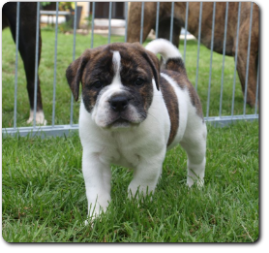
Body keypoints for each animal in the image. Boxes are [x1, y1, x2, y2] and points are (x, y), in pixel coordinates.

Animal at [65, 38, 207, 222]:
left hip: (195, 135)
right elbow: (97, 191)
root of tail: (176, 71)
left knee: (196, 161)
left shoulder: (149, 159)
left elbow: (139, 186)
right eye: (97, 84)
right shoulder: (95, 159)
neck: (120, 133)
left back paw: (195, 186)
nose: (119, 100)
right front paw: (98, 218)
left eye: (138, 81)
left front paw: (134, 208)